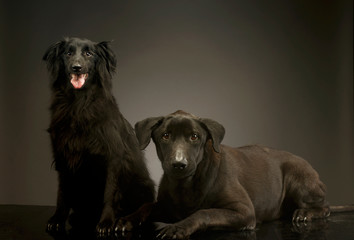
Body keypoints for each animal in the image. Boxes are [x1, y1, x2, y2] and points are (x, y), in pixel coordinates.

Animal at [42, 38, 155, 236]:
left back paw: (126, 221)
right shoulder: (62, 153)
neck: (78, 103)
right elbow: (62, 191)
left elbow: (109, 193)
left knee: (146, 206)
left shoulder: (114, 157)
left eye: (89, 54)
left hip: (141, 183)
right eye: (68, 53)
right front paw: (58, 218)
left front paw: (106, 222)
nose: (76, 67)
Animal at [118, 110, 330, 238]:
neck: (185, 185)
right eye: (165, 135)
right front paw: (127, 219)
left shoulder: (244, 211)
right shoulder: (164, 205)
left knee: (324, 207)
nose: (179, 164)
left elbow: (205, 212)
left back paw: (304, 213)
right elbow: (146, 206)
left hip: (298, 177)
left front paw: (178, 227)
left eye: (194, 137)